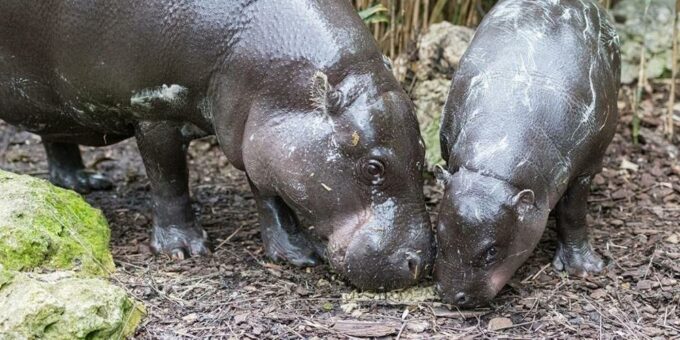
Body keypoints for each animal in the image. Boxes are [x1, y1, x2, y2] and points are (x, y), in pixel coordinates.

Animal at [0, 0, 432, 290]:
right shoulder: (154, 109)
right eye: (373, 168)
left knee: (55, 137)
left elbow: (268, 194)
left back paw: (82, 183)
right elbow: (169, 178)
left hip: (49, 102)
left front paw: (296, 256)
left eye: (424, 157)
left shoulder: (258, 133)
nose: (420, 264)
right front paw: (184, 250)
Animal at [436, 0, 620, 308]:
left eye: (492, 251)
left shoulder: (584, 168)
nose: (452, 295)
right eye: (438, 233)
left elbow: (573, 213)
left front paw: (585, 269)